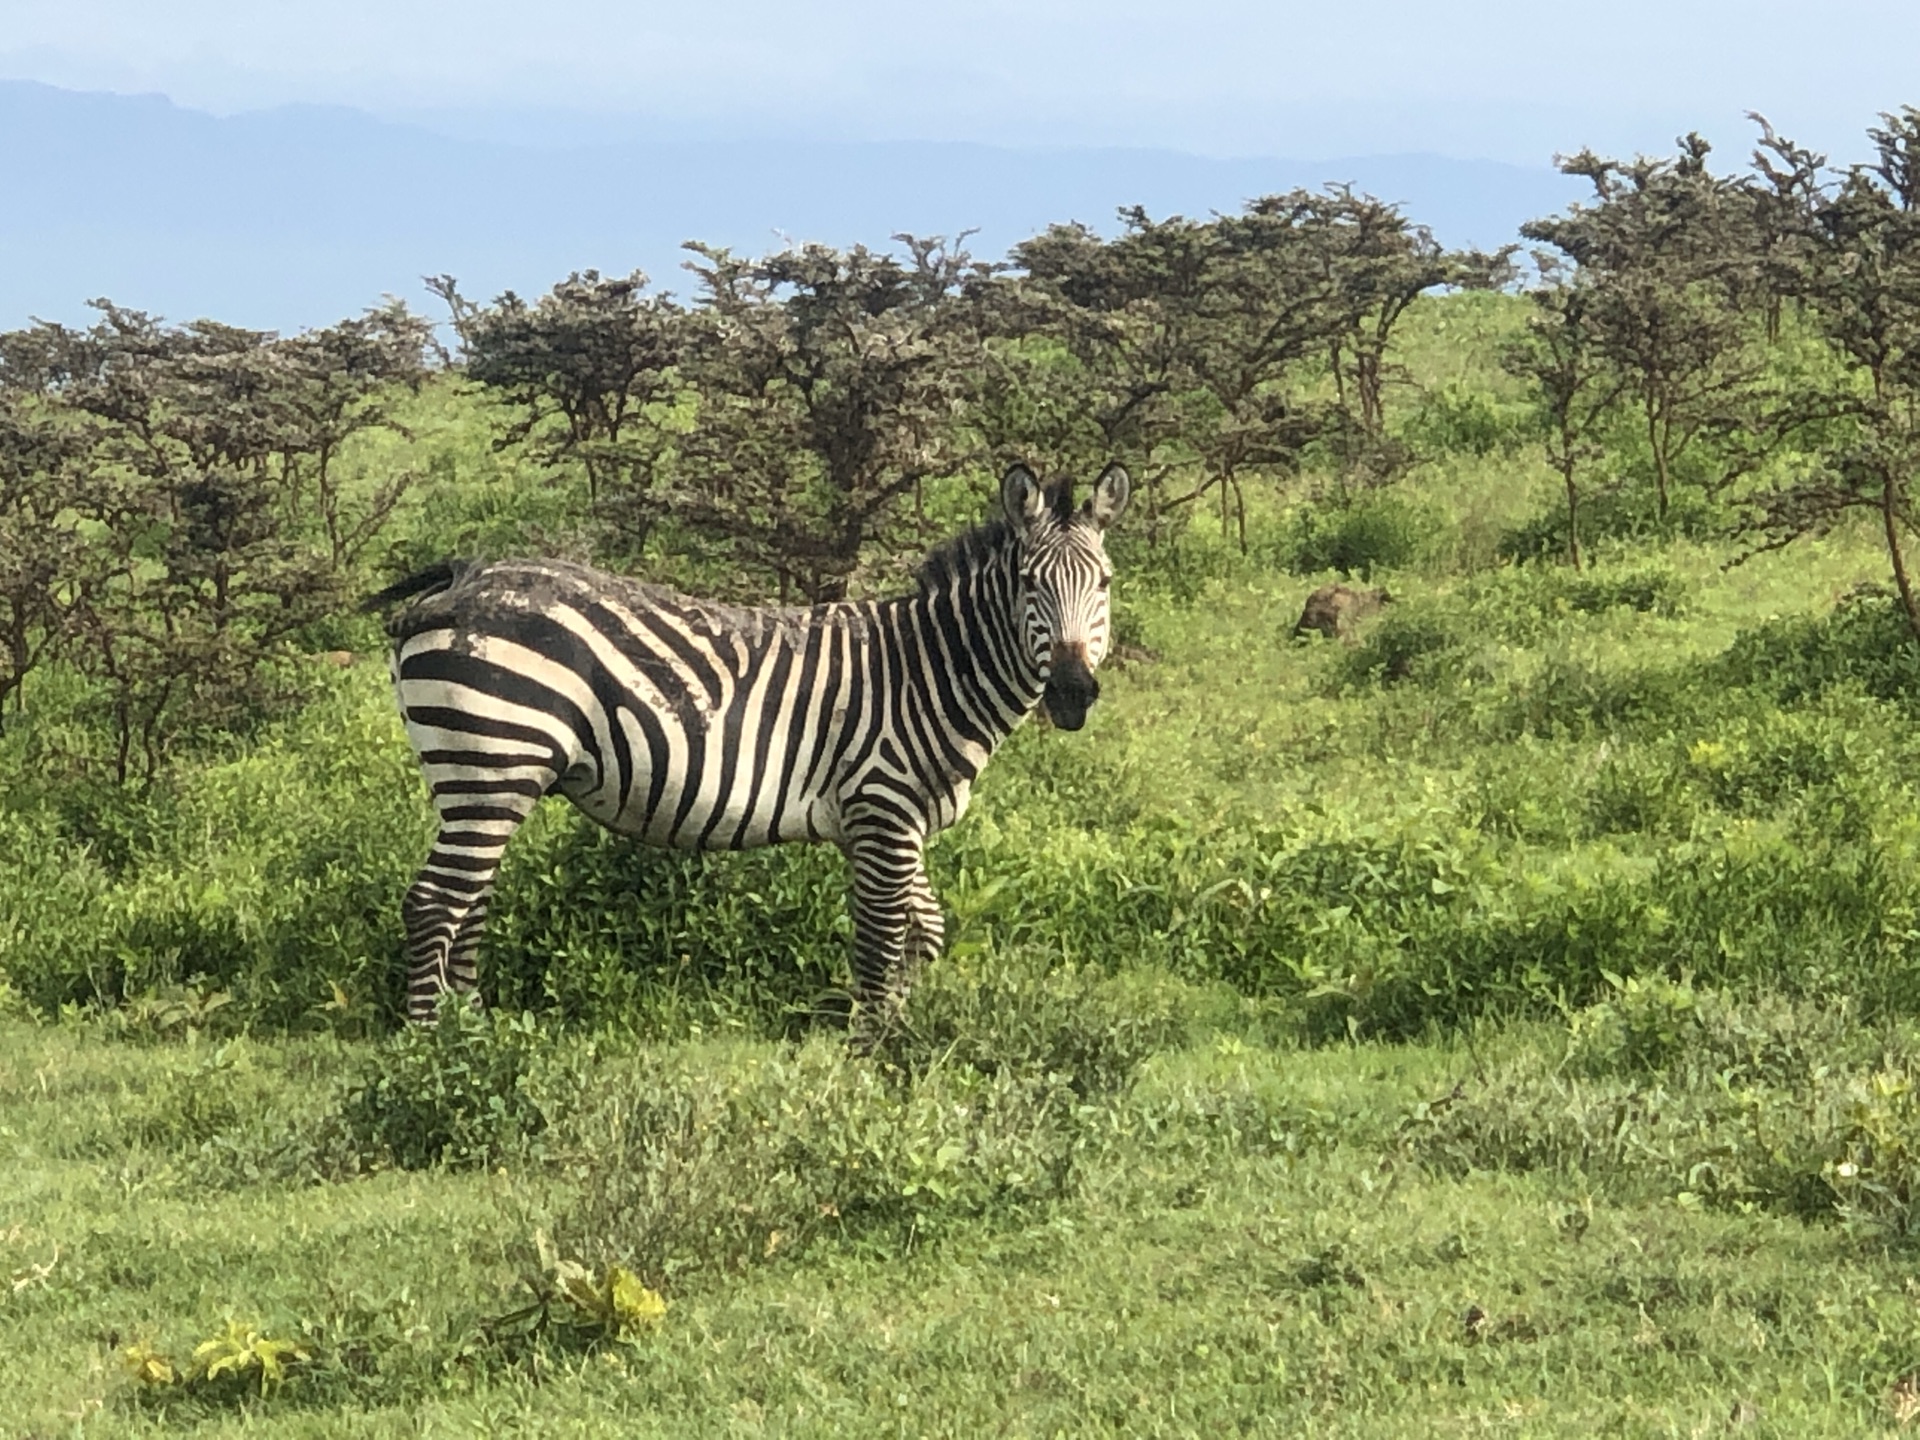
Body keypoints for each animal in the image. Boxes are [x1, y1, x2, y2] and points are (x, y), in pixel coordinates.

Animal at [366, 462, 1128, 1036]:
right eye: (1029, 584)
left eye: (1105, 584)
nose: (1072, 692)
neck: (929, 673)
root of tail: (464, 573)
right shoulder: (882, 808)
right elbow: (880, 937)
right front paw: (873, 1050)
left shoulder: (894, 821)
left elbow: (926, 930)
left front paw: (901, 1026)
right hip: (493, 759)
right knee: (434, 903)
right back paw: (432, 1050)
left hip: (481, 779)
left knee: (468, 902)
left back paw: (472, 1027)